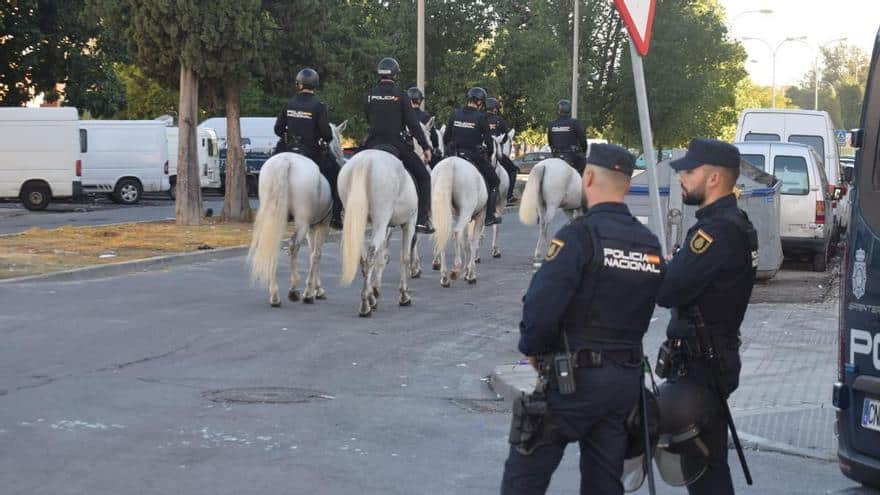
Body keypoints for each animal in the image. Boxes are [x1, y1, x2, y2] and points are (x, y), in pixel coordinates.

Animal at [249, 121, 348, 306]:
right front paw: (311, 292)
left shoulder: (312, 226)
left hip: (275, 217)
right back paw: (294, 289)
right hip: (301, 222)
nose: (342, 160)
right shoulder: (322, 224)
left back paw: (275, 295)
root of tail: (286, 162)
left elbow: (311, 253)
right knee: (293, 246)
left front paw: (317, 289)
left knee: (273, 244)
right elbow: (316, 254)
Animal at [338, 147, 418, 318]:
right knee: (370, 257)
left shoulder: (387, 226)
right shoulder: (409, 223)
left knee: (364, 259)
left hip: (358, 222)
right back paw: (364, 306)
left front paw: (375, 291)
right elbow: (404, 257)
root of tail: (365, 161)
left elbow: (382, 258)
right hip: (381, 220)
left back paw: (369, 299)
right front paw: (404, 296)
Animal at [432, 157, 488, 288]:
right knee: (456, 232)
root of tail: (451, 163)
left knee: (442, 235)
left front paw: (467, 272)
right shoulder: (480, 216)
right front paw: (471, 274)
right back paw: (455, 269)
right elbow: (473, 242)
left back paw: (444, 277)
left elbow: (465, 243)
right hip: (466, 211)